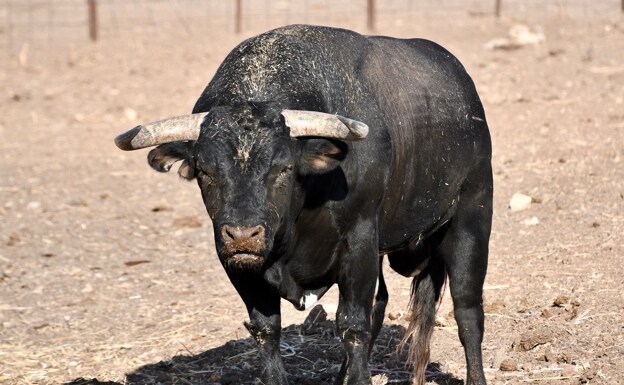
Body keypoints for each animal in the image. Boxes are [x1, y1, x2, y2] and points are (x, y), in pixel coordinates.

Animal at [112, 24, 492, 384]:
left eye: (284, 168)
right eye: (205, 170)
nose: (243, 234)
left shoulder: (359, 244)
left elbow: (353, 325)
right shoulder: (237, 264)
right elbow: (267, 331)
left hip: (472, 216)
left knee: (467, 310)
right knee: (382, 304)